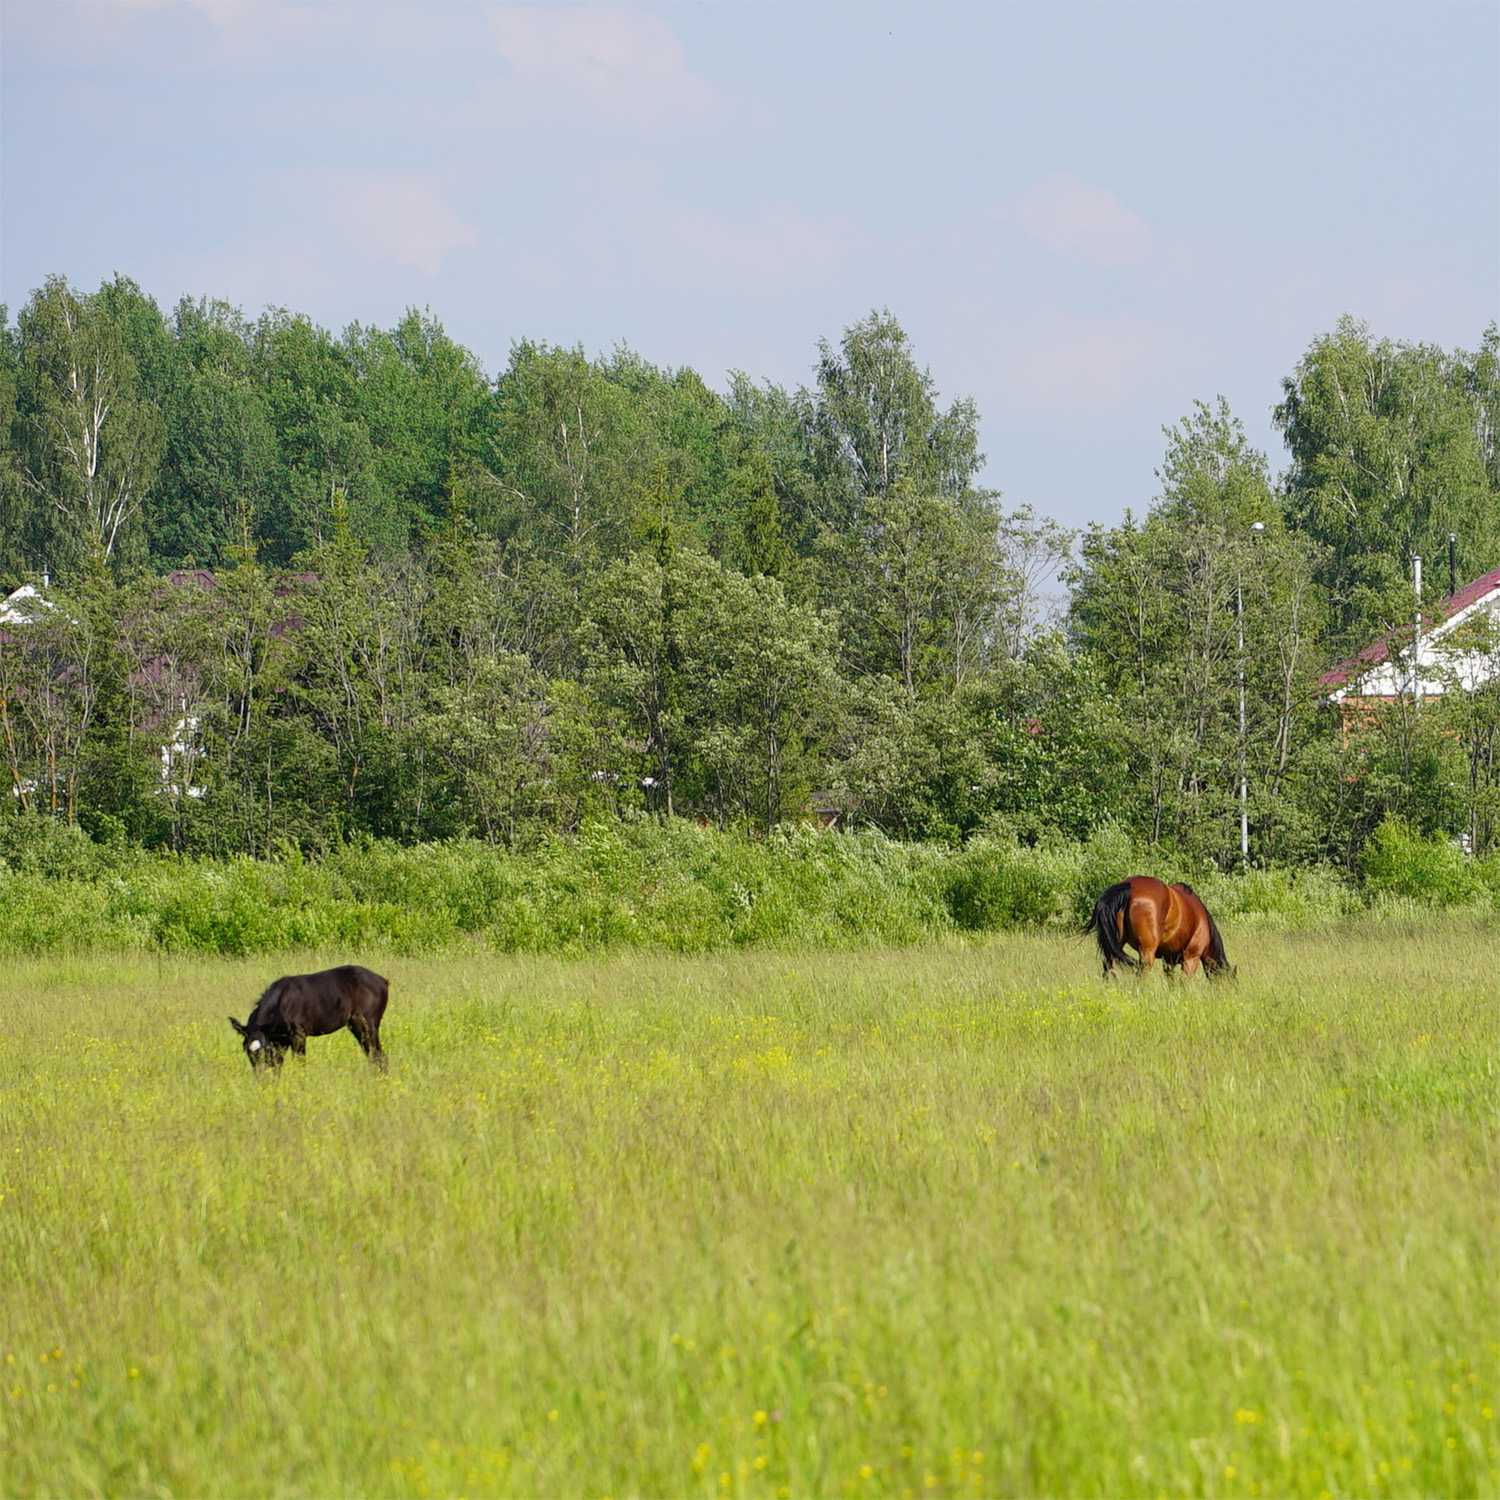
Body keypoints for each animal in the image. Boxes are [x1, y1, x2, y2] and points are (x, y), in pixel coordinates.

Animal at [228, 966, 390, 1074]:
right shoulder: (281, 1041)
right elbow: (278, 1065)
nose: (261, 1076)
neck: (280, 1004)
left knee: (379, 1055)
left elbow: (300, 1063)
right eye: (247, 1051)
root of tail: (384, 981)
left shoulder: (298, 1035)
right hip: (356, 1027)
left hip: (368, 1025)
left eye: (265, 1049)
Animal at [1092, 876, 1230, 978]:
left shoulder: (1168, 961)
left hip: (1114, 947)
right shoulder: (1190, 959)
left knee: (1107, 969)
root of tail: (1128, 886)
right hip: (1147, 953)